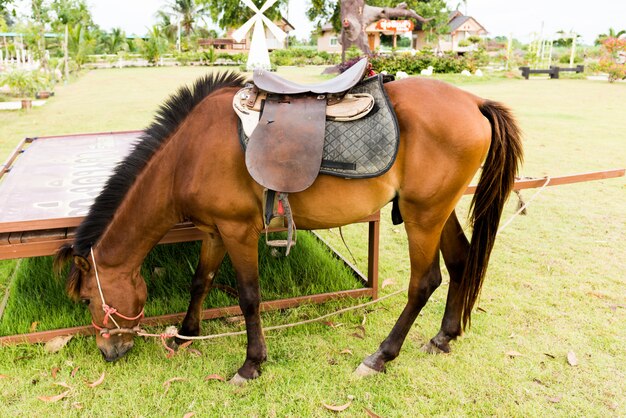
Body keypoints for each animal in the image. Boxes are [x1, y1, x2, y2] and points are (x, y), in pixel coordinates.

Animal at [54, 70, 520, 384]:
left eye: (88, 298)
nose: (108, 351)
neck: (188, 153)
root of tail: (474, 102)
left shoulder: (238, 231)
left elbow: (248, 298)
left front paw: (250, 364)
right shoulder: (213, 232)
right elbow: (200, 281)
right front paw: (186, 334)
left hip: (423, 216)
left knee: (423, 283)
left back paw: (380, 356)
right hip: (437, 210)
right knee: (461, 263)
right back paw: (444, 336)